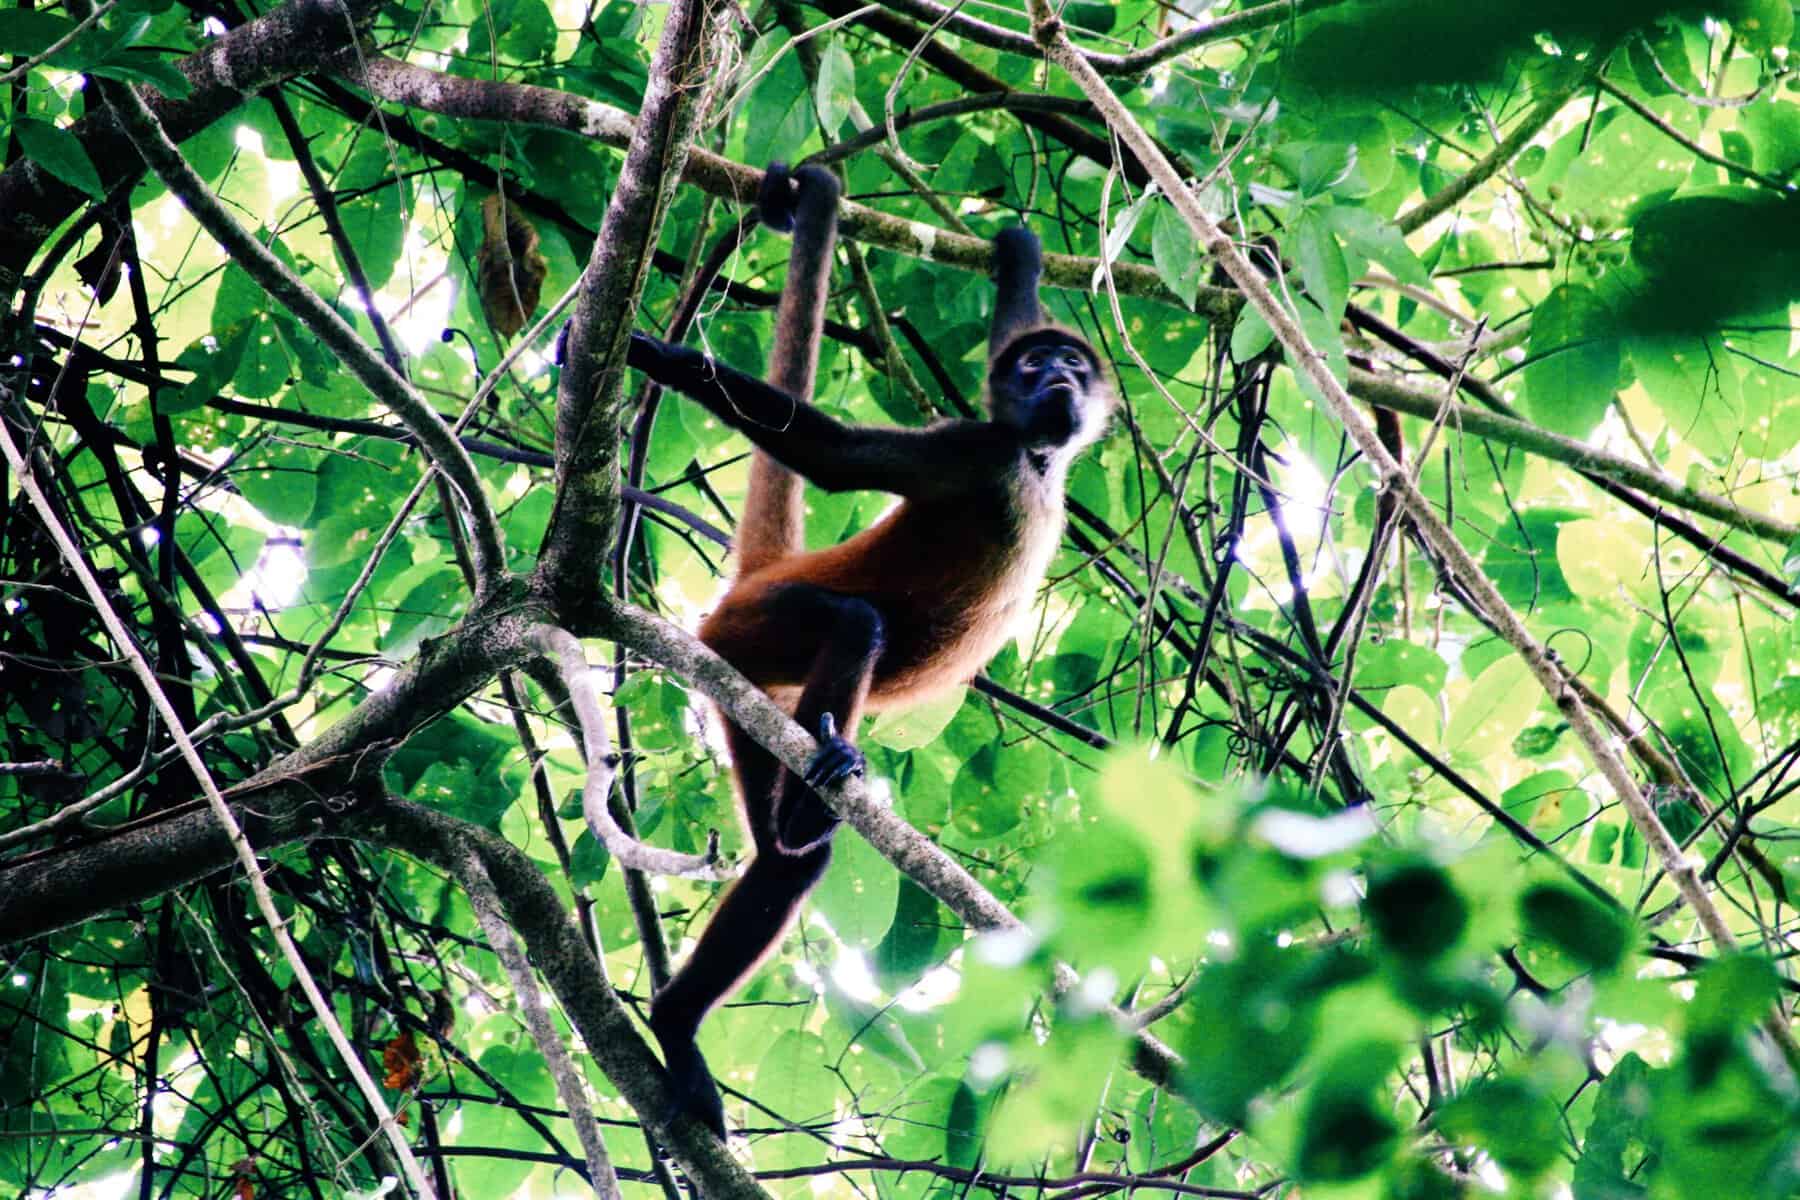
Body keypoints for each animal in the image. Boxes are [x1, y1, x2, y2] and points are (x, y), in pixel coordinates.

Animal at [624, 164, 1113, 1137]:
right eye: (1035, 368)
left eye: (1069, 364)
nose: (1055, 377)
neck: (1036, 465)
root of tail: (760, 576)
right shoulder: (977, 449)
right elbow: (839, 459)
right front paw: (661, 357)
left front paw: (1018, 253)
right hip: (754, 624)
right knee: (856, 624)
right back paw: (818, 790)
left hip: (753, 691)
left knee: (785, 869)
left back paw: (688, 1002)